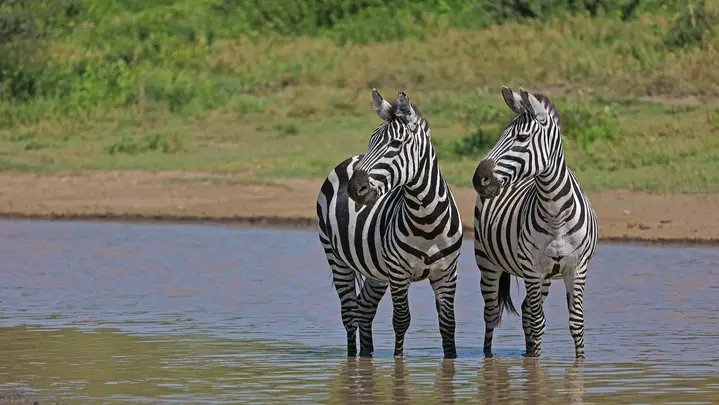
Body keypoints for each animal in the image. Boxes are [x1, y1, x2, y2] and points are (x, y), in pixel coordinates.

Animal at [316, 89, 463, 359]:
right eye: (371, 140)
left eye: (395, 144)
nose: (354, 188)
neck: (427, 220)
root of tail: (351, 159)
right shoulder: (398, 272)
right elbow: (401, 320)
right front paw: (398, 362)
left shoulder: (447, 272)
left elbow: (448, 324)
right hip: (336, 258)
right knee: (349, 314)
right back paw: (353, 359)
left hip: (376, 271)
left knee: (364, 309)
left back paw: (367, 355)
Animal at [472, 86, 598, 359]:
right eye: (501, 135)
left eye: (521, 138)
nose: (479, 179)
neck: (555, 214)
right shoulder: (531, 268)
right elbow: (538, 322)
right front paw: (535, 367)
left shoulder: (577, 268)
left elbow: (576, 324)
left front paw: (580, 363)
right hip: (487, 262)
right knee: (492, 314)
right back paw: (490, 357)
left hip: (545, 277)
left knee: (525, 311)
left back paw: (528, 352)